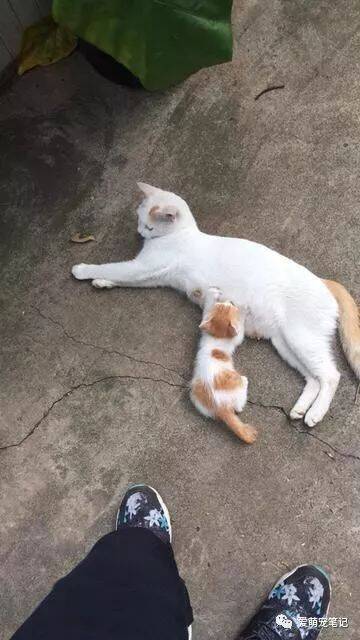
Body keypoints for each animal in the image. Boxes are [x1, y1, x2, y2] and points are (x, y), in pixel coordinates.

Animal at [72, 182, 360, 428]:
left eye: (149, 226)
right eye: (140, 221)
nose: (141, 232)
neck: (182, 234)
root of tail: (324, 281)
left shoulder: (143, 267)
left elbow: (115, 267)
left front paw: (83, 269)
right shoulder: (152, 276)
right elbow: (122, 277)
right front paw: (102, 282)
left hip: (301, 338)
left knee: (331, 375)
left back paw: (315, 413)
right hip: (285, 344)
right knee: (313, 378)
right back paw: (300, 409)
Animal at [190, 288, 258, 444]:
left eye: (224, 304)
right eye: (230, 305)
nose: (230, 301)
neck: (217, 337)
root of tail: (221, 406)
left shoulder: (204, 324)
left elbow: (206, 310)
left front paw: (212, 293)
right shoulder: (237, 337)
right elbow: (241, 329)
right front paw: (244, 308)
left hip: (195, 395)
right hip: (237, 387)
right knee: (239, 407)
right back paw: (245, 381)